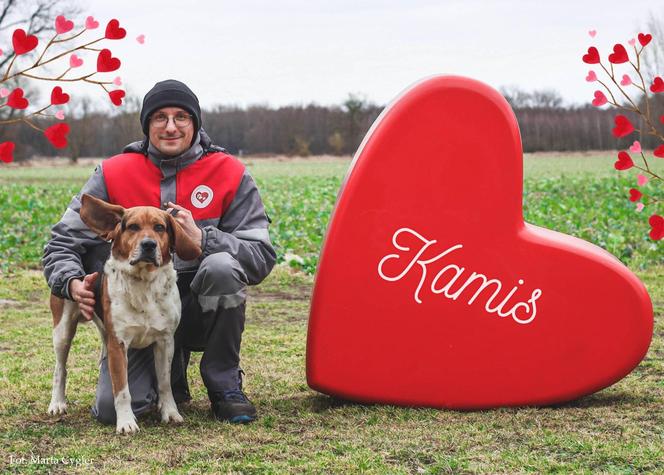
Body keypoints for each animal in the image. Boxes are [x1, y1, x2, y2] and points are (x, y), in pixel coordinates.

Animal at [48, 193, 201, 436]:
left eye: (159, 227)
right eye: (133, 227)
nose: (148, 245)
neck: (143, 284)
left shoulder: (165, 341)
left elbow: (164, 383)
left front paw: (170, 412)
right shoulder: (118, 345)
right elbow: (121, 390)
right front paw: (126, 422)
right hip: (62, 330)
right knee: (59, 369)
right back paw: (57, 403)